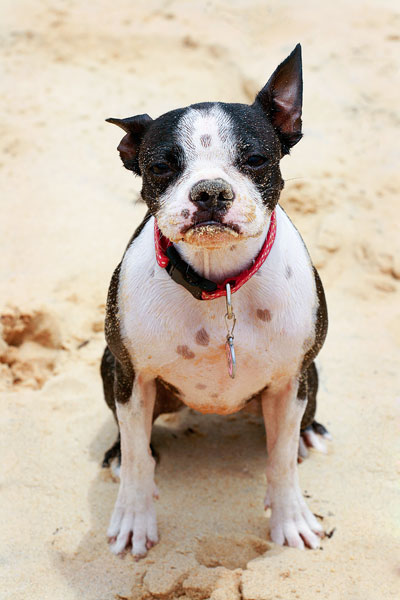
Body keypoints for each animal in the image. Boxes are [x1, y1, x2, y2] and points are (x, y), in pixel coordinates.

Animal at [101, 45, 330, 556]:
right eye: (161, 167)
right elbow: (140, 458)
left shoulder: (290, 381)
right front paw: (134, 518)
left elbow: (280, 460)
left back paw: (311, 434)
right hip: (111, 369)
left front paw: (290, 519)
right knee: (132, 443)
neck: (218, 281)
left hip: (311, 376)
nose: (209, 191)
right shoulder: (133, 378)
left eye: (256, 159)